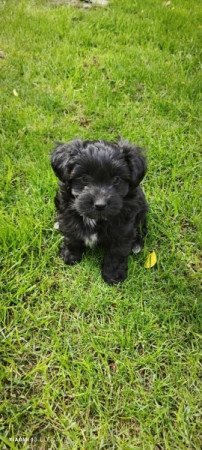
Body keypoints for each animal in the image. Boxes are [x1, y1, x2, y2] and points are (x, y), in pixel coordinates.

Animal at [51, 138, 148, 284]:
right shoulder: (66, 214)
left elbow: (117, 252)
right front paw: (70, 255)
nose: (100, 204)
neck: (96, 219)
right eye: (84, 178)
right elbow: (71, 236)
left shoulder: (122, 229)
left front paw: (113, 275)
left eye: (116, 179)